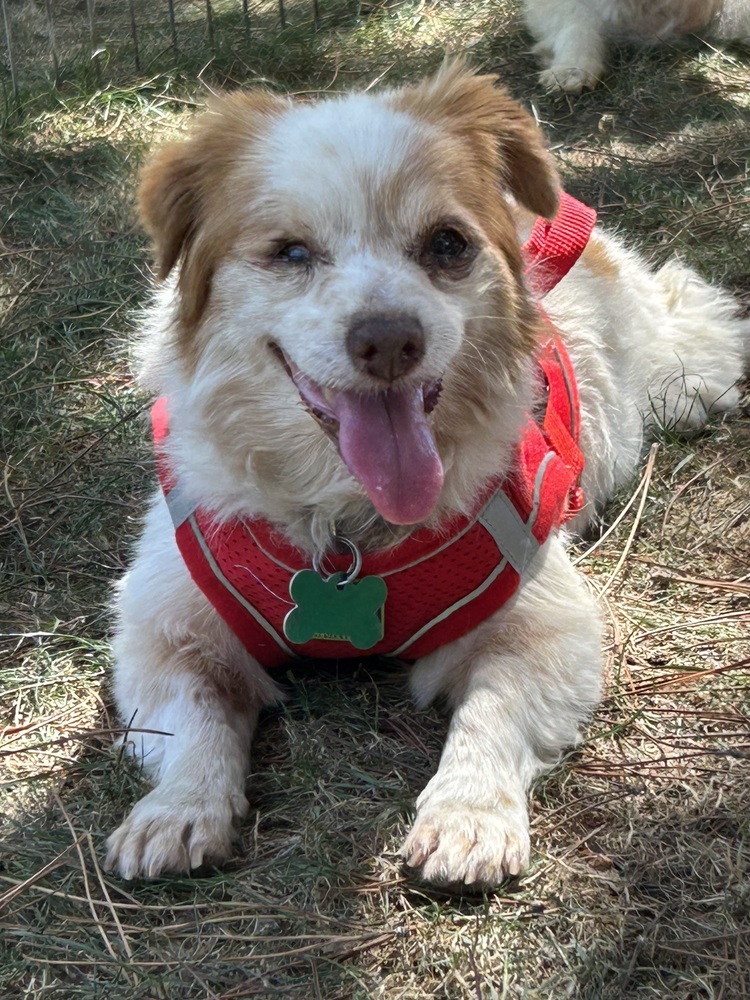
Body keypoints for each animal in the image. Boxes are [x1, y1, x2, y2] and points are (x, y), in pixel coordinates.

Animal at [103, 64, 748, 884]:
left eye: (447, 243)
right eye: (290, 253)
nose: (388, 339)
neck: (348, 527)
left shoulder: (546, 627)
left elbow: (490, 714)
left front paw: (469, 814)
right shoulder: (162, 629)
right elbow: (196, 718)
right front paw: (181, 807)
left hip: (672, 361)